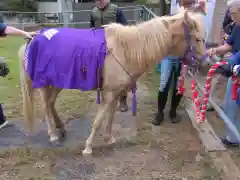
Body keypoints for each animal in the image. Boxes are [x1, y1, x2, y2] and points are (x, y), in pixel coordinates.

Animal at [18, 10, 205, 155]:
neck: (126, 50)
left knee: (50, 104)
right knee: (45, 106)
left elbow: (110, 118)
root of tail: (34, 37)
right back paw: (54, 135)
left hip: (57, 82)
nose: (205, 62)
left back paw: (61, 129)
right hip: (44, 83)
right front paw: (88, 148)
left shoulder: (116, 94)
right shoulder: (108, 94)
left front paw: (109, 139)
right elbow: (98, 121)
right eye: (197, 39)